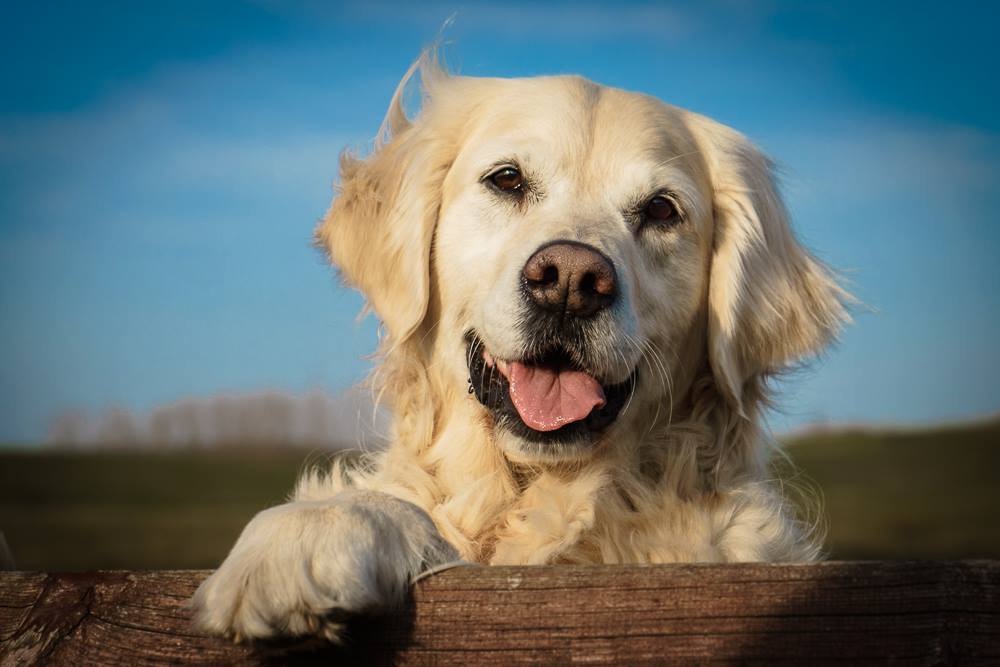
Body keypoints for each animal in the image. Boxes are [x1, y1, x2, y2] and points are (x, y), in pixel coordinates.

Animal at [191, 53, 848, 640]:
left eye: (662, 209)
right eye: (507, 179)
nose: (570, 282)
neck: (539, 494)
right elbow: (412, 510)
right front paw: (307, 532)